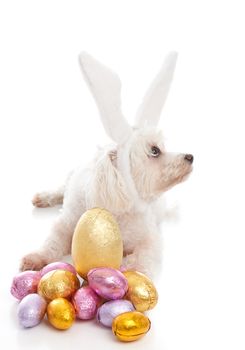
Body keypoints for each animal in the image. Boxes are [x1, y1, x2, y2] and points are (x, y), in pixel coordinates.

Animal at [20, 51, 193, 278]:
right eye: (155, 151)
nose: (190, 156)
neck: (114, 204)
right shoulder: (67, 223)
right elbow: (53, 240)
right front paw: (36, 257)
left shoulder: (149, 239)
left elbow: (142, 257)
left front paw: (127, 272)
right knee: (62, 189)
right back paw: (46, 196)